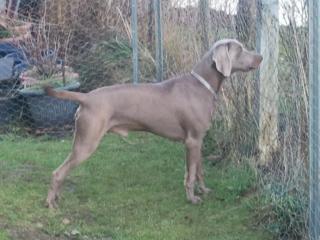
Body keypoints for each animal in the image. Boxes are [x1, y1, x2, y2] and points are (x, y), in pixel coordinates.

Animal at [44, 39, 262, 208]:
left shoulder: (199, 140)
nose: (260, 57)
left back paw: (57, 198)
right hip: (86, 142)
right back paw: (51, 203)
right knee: (57, 172)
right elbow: (190, 175)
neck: (202, 85)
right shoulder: (192, 141)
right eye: (240, 49)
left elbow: (199, 171)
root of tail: (86, 97)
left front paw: (205, 190)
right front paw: (192, 198)